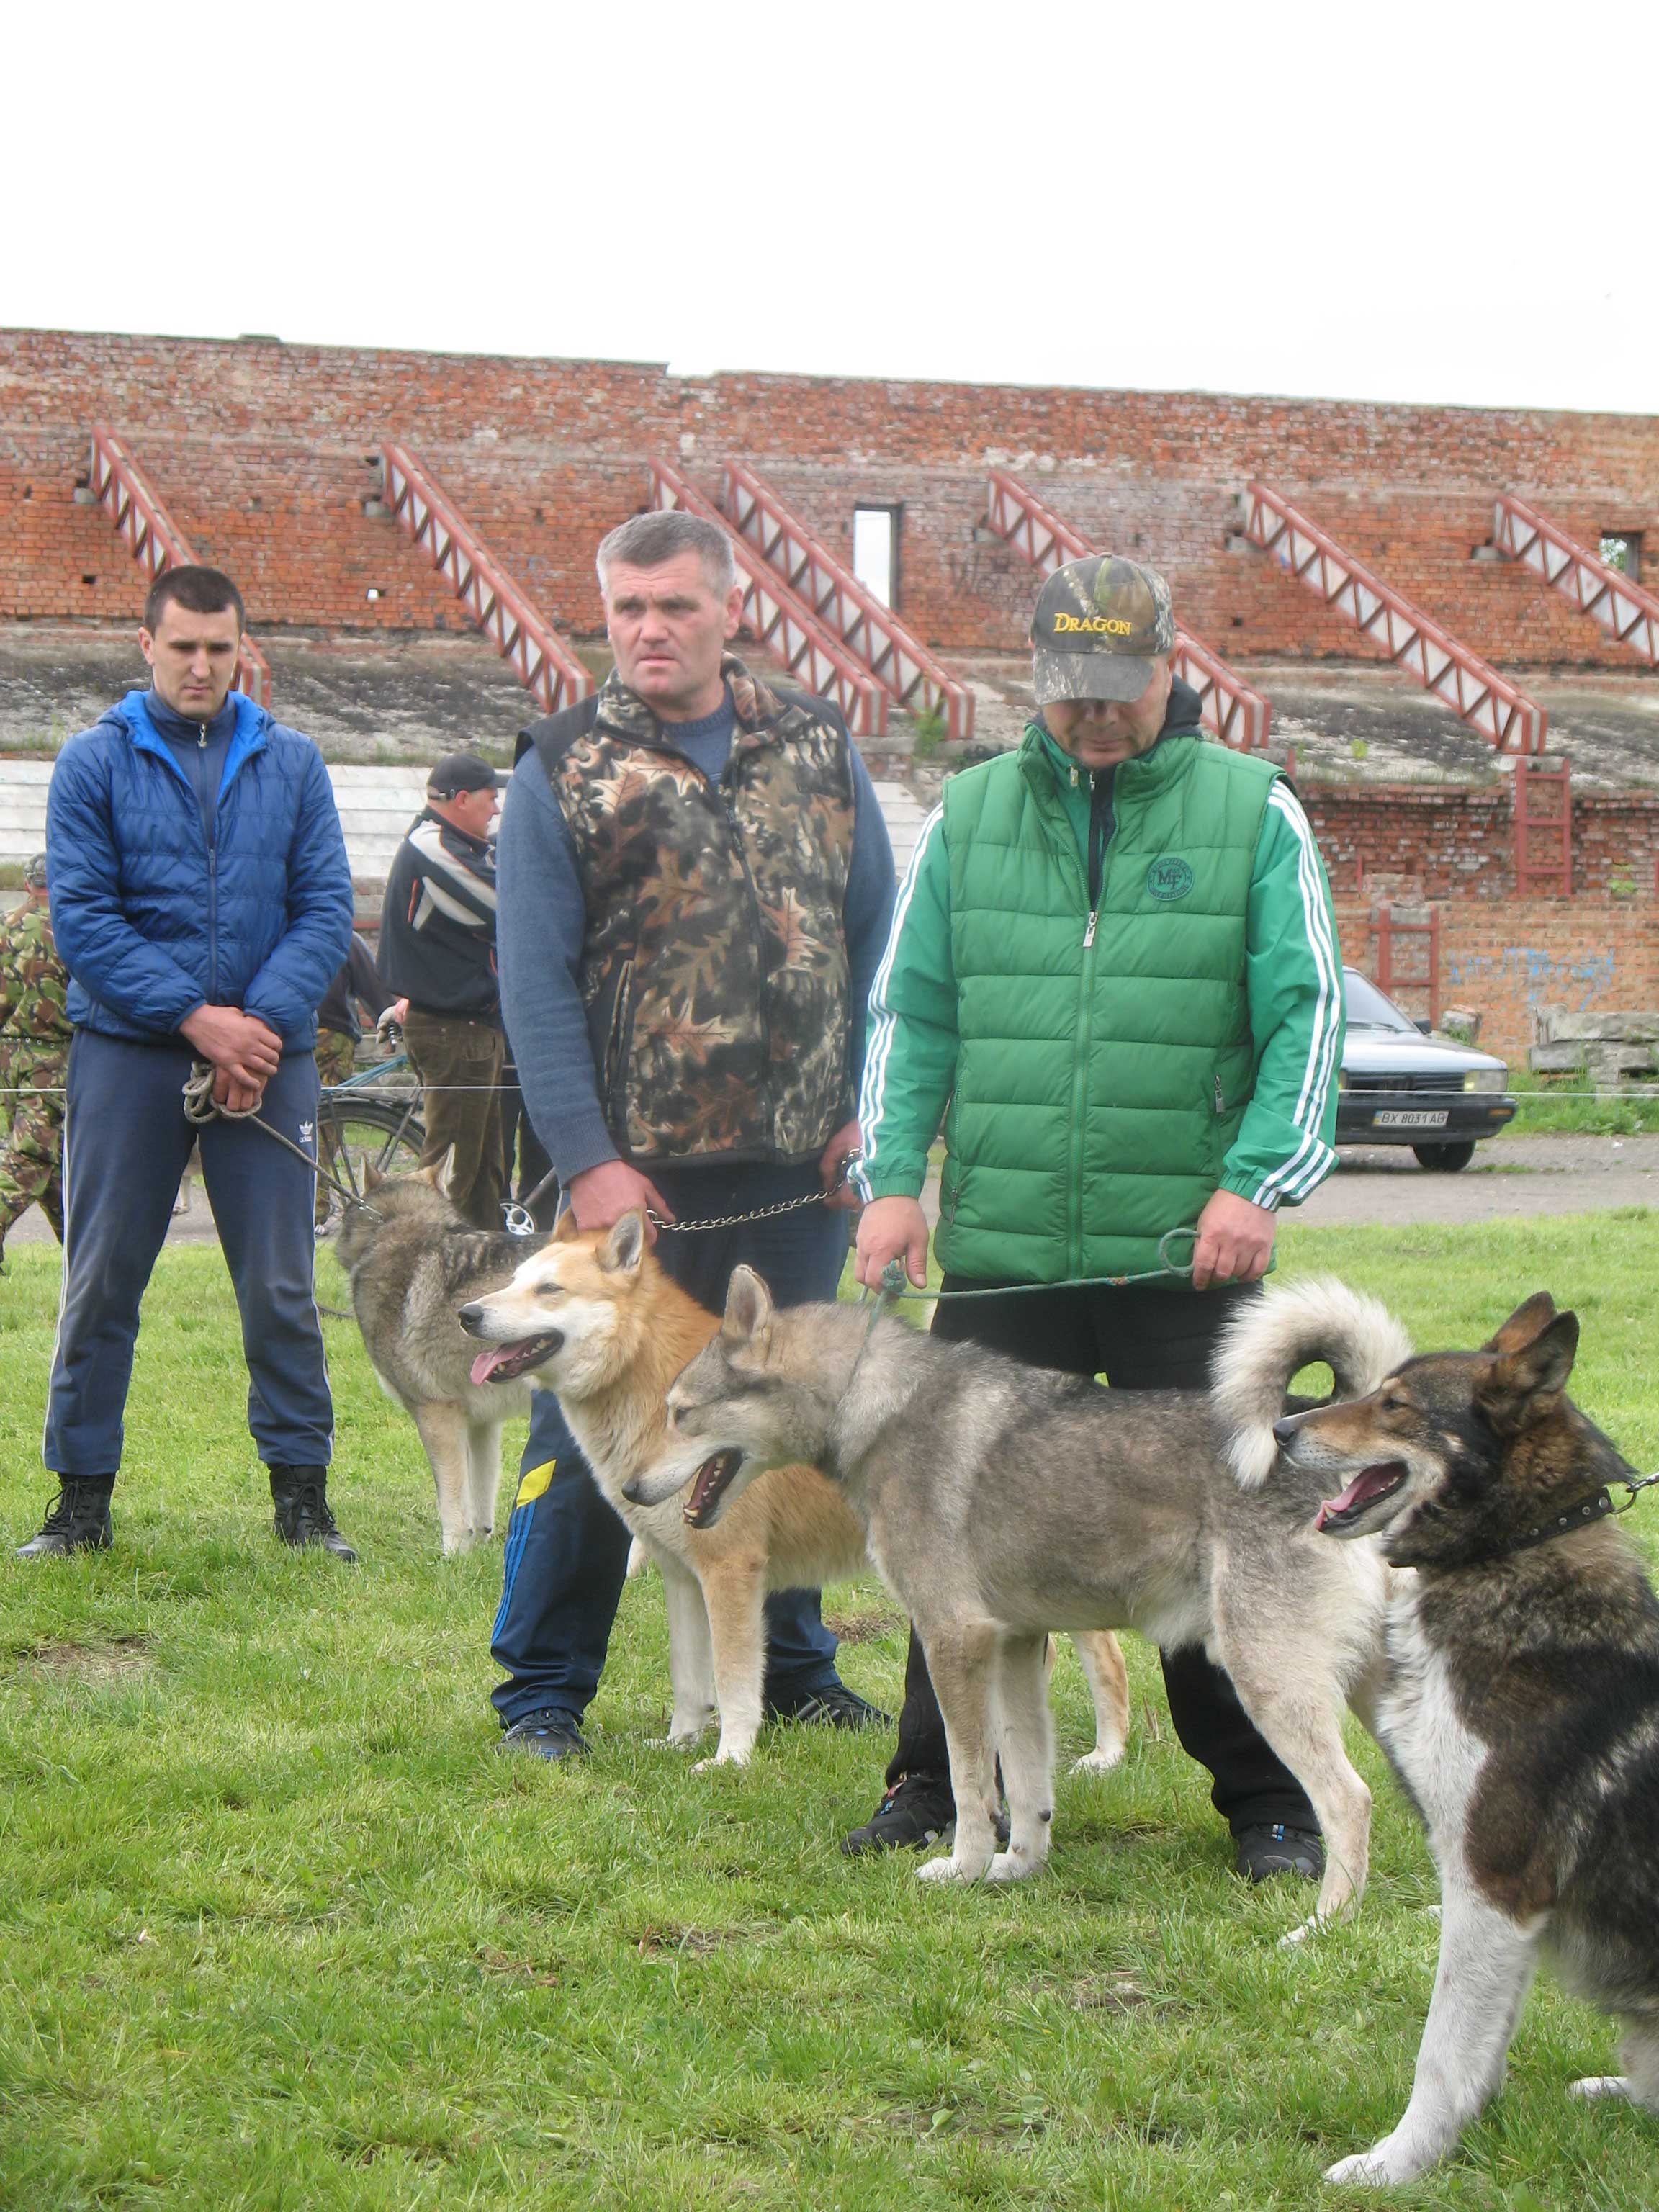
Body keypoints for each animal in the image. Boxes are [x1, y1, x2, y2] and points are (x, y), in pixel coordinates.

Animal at [332, 1166, 541, 1553]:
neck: (393, 1225)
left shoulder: (435, 1414)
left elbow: (451, 1501)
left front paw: (452, 1555)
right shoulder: (482, 1424)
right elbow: (481, 1504)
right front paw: (478, 1552)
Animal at [459, 1209, 1132, 1771]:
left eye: (549, 1290)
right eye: (512, 1281)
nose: (468, 1314)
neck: (647, 1382)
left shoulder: (730, 1572)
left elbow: (733, 1684)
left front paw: (729, 1760)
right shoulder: (683, 1576)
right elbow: (688, 1680)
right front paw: (679, 1743)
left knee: (1108, 1660)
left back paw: (1106, 1756)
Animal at [625, 1265, 1411, 1926]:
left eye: (681, 1413)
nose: (629, 1489)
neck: (876, 1407)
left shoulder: (954, 1640)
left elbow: (971, 1780)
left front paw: (962, 1867)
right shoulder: (1016, 1648)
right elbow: (1029, 1786)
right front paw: (1015, 1869)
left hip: (1267, 1679)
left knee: (1350, 1802)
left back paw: (1321, 1927)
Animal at [1272, 1292, 1659, 2184]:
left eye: (1396, 1406)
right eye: (1375, 1390)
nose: (1280, 1427)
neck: (1510, 1554)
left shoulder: (1496, 1878)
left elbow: (1443, 2050)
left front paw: (1394, 2166)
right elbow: (1480, 2045)